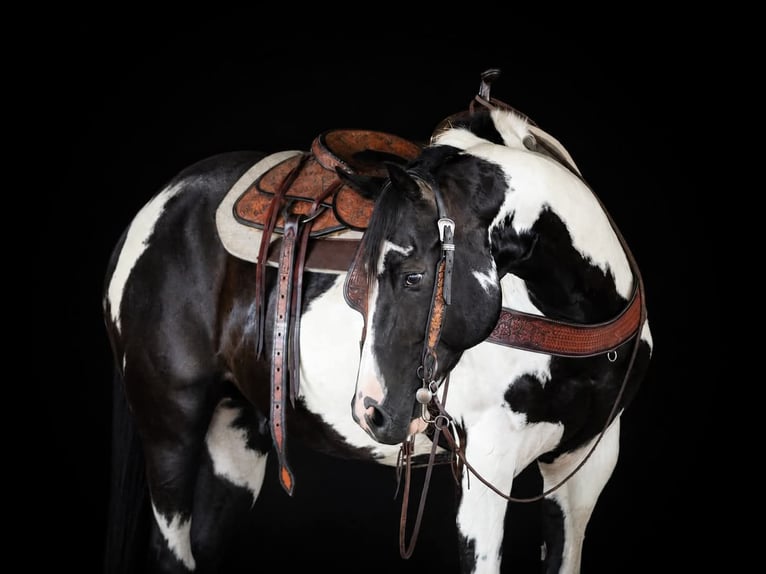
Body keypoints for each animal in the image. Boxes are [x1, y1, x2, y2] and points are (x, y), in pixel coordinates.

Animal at [102, 70, 653, 574]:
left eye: (413, 277)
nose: (368, 412)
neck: (575, 312)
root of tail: (158, 205)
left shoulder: (584, 467)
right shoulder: (488, 465)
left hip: (235, 429)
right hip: (170, 428)